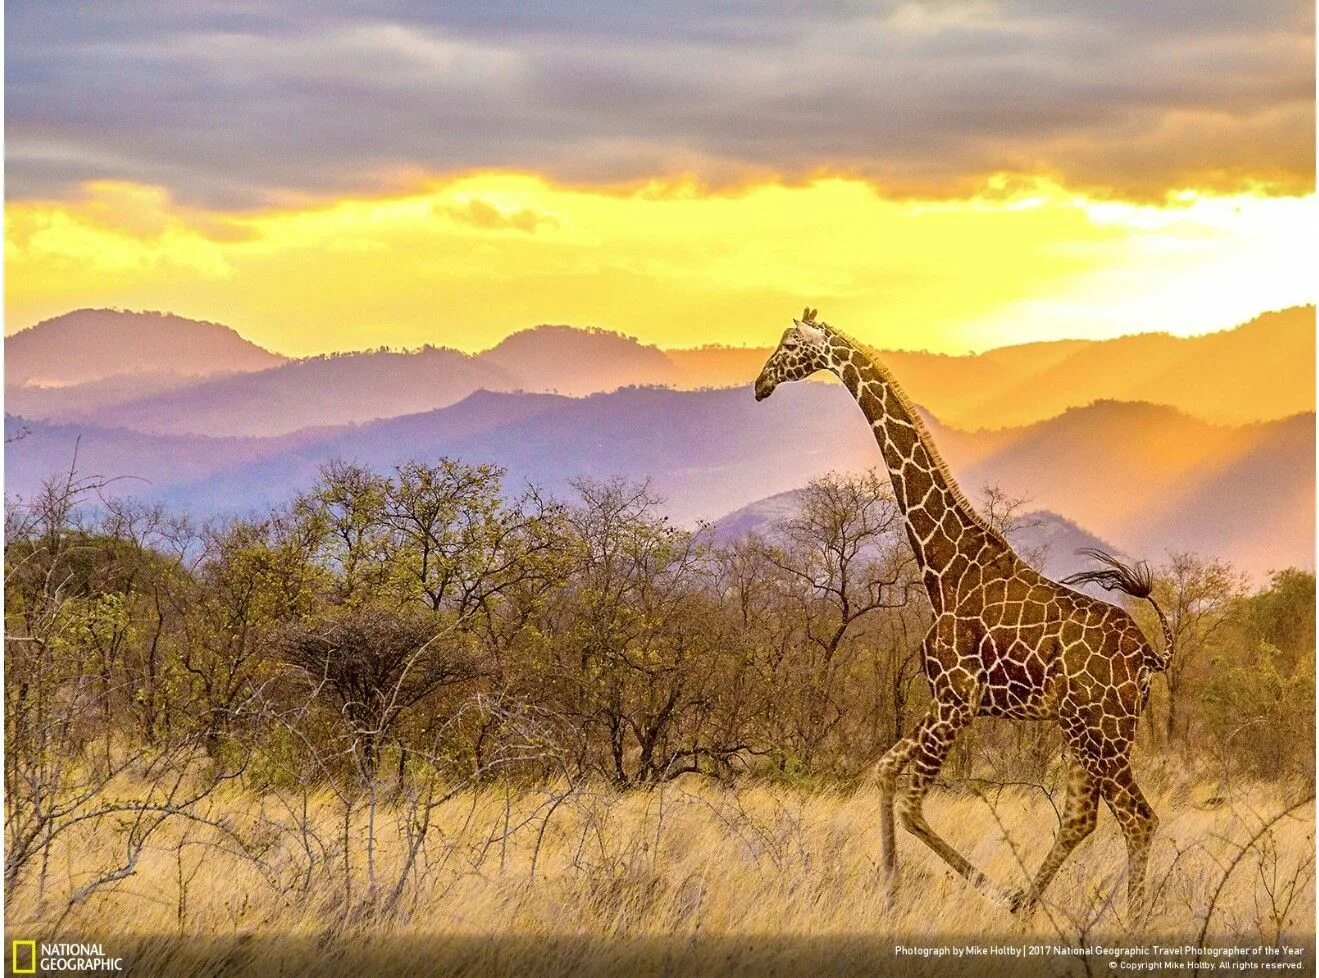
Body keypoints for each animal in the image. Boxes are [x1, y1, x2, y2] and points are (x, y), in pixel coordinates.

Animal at [759, 307, 1181, 913]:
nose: (759, 384)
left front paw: (985, 889)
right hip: (1088, 731)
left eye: (790, 344)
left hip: (1101, 730)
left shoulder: (958, 699)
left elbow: (913, 806)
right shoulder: (943, 698)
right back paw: (1030, 905)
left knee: (1137, 818)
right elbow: (883, 770)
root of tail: (1149, 657)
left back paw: (1119, 917)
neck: (945, 568)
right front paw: (890, 890)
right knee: (1084, 817)